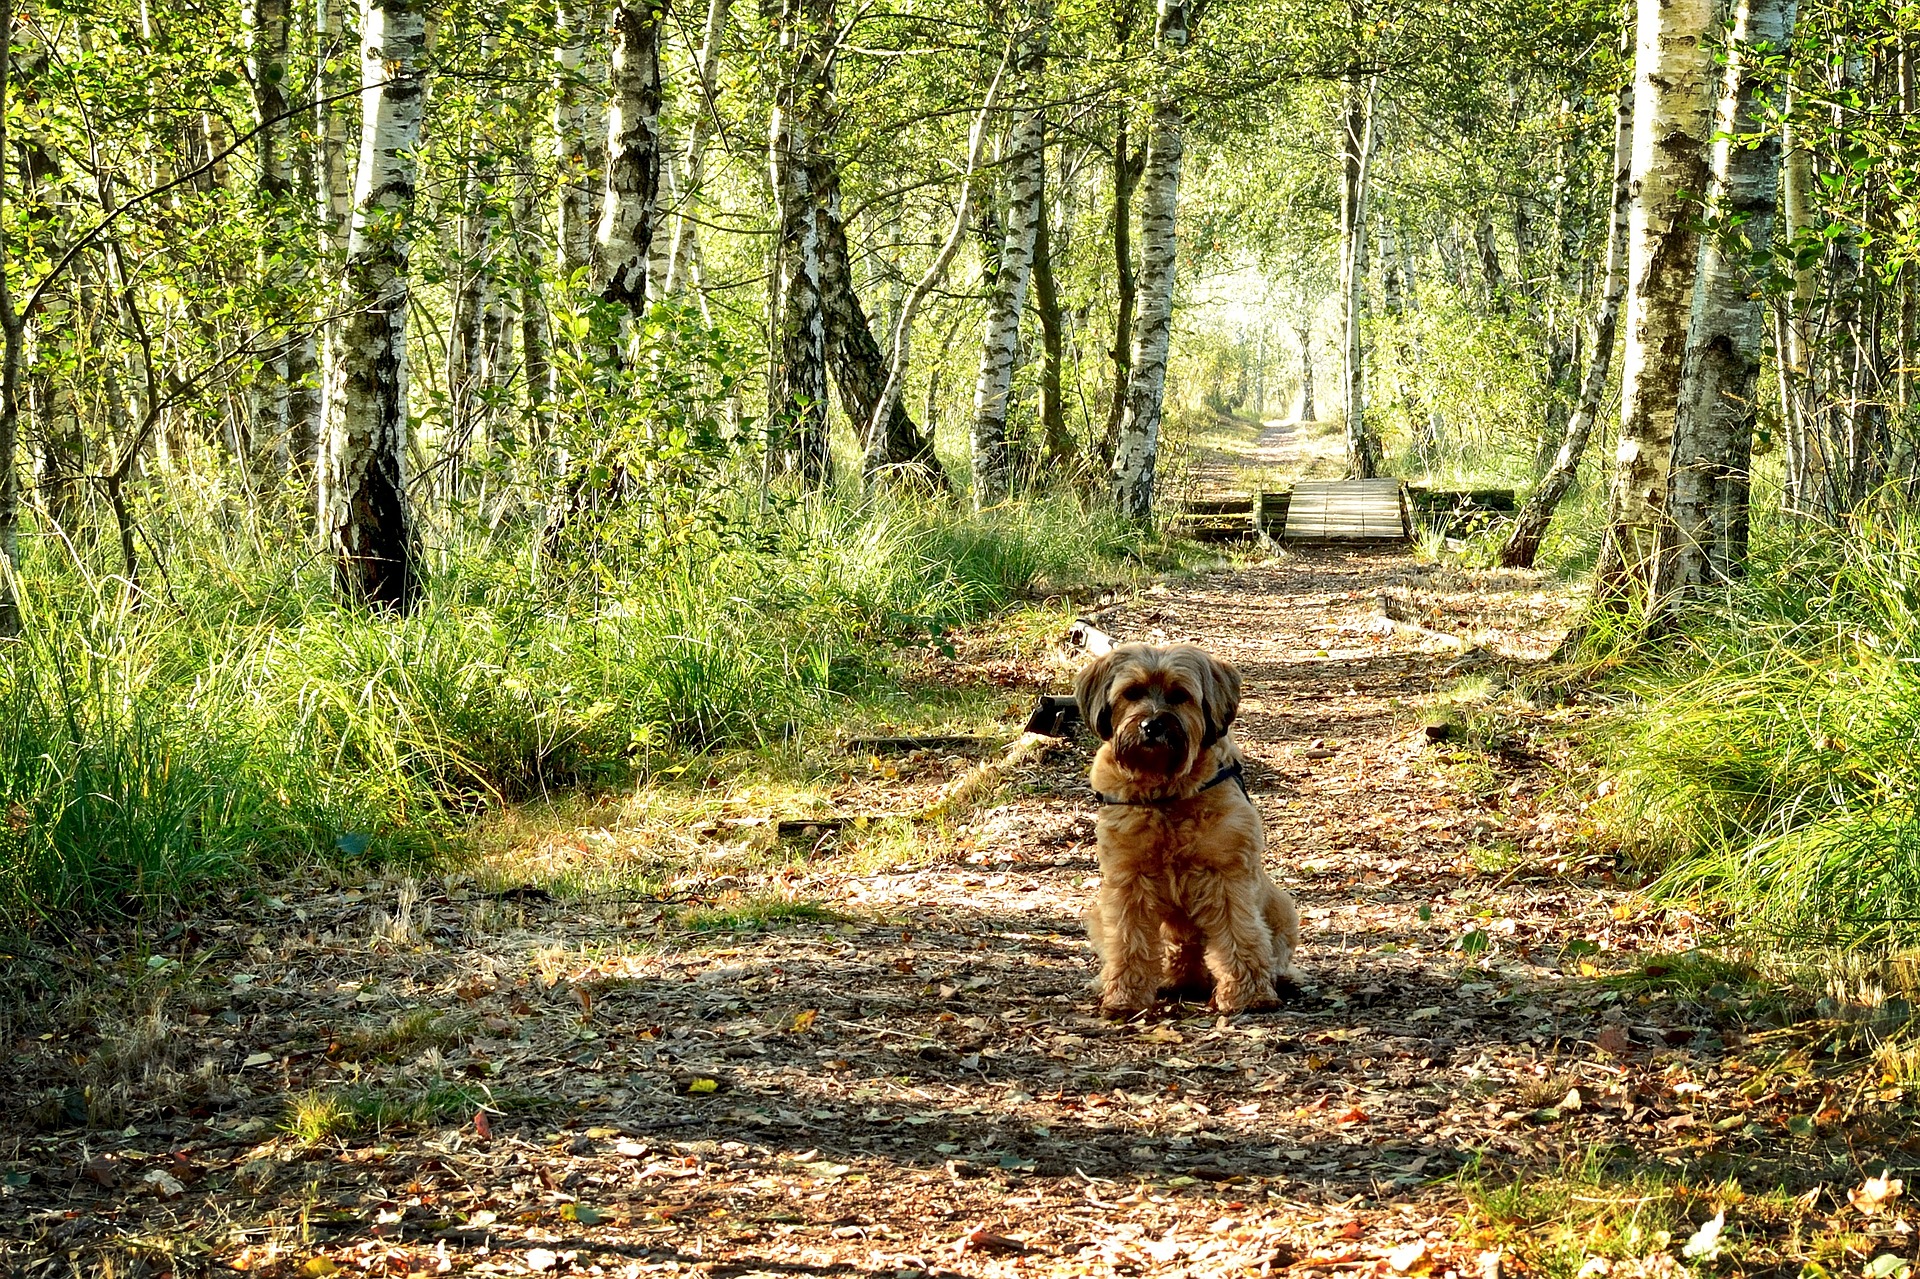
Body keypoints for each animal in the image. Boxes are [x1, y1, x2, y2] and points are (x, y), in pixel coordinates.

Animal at [1075, 641, 1297, 1013]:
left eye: (1179, 695)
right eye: (1131, 693)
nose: (1151, 725)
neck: (1166, 795)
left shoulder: (1226, 876)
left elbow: (1240, 934)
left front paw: (1249, 995)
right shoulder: (1128, 880)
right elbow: (1128, 940)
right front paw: (1124, 996)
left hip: (1281, 906)